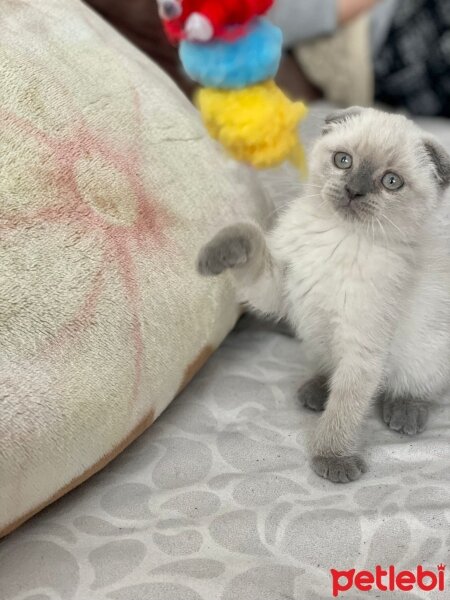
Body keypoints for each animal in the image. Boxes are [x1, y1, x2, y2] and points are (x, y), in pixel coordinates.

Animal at [197, 106, 450, 482]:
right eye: (343, 160)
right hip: (315, 338)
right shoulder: (279, 286)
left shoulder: (362, 347)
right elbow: (249, 235)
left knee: (421, 388)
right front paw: (217, 253)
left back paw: (404, 412)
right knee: (327, 369)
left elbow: (344, 409)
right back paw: (316, 391)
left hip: (427, 353)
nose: (353, 190)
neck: (337, 238)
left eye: (391, 182)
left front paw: (333, 459)